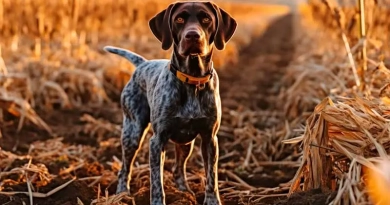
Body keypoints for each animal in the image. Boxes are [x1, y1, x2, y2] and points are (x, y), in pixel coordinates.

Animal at [103, 0, 236, 204]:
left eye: (206, 18)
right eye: (179, 19)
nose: (192, 35)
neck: (192, 80)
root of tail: (142, 63)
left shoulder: (210, 139)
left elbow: (211, 177)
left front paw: (212, 200)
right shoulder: (157, 141)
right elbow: (156, 182)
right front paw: (157, 200)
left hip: (186, 142)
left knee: (177, 169)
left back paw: (184, 192)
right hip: (132, 132)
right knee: (125, 167)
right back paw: (122, 193)